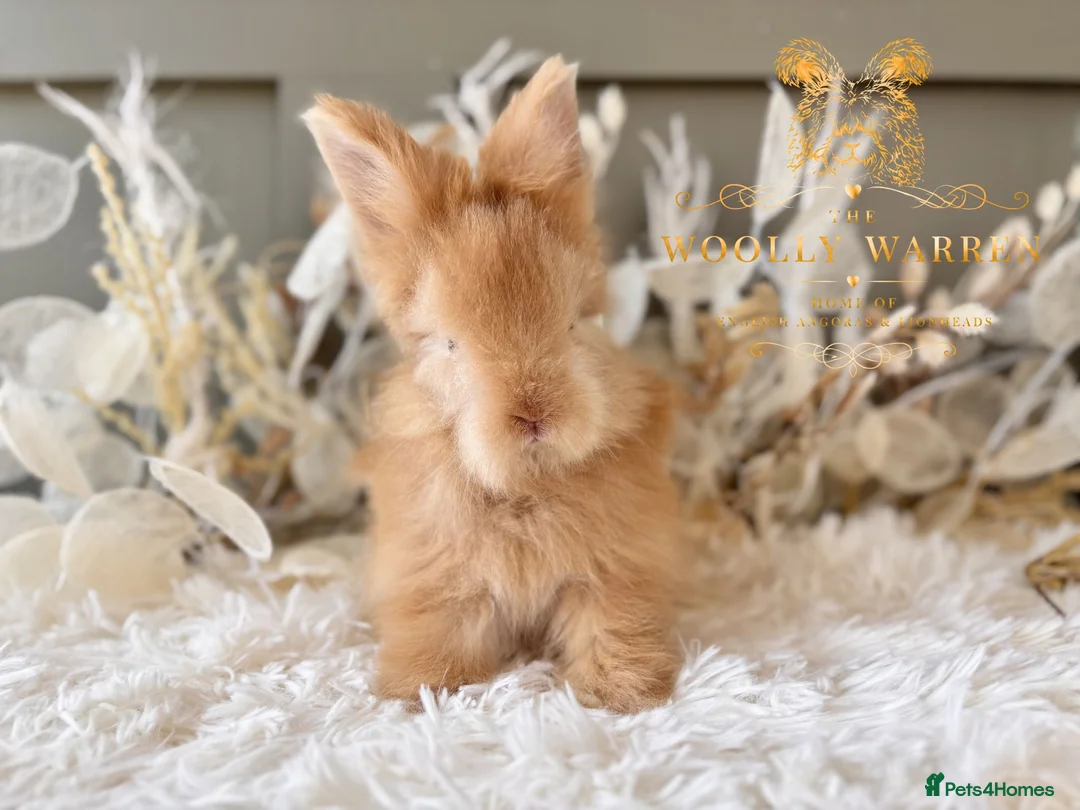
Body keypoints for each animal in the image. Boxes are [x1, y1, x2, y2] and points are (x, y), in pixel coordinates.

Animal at [303, 56, 682, 714]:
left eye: (574, 324)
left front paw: (622, 694)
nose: (534, 415)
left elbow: (612, 625)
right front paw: (419, 690)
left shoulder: (613, 574)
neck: (524, 487)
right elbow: (440, 631)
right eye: (451, 344)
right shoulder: (439, 581)